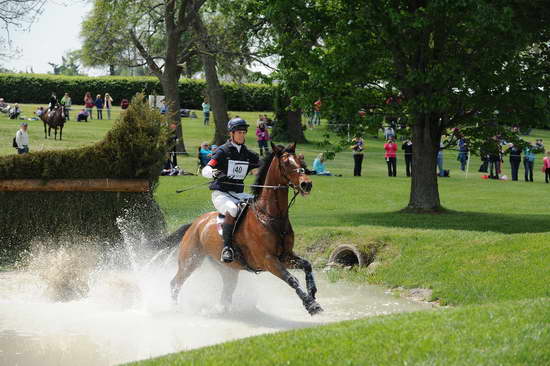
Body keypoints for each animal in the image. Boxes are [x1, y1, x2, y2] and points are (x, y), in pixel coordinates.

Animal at [169, 142, 324, 314]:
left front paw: (312, 292)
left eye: (300, 160)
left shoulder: (285, 256)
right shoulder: (268, 260)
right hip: (190, 261)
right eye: (286, 163)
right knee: (175, 282)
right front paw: (311, 304)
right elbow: (292, 279)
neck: (270, 216)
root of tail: (196, 224)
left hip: (226, 267)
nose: (306, 184)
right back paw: (176, 309)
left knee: (226, 289)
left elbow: (307, 265)